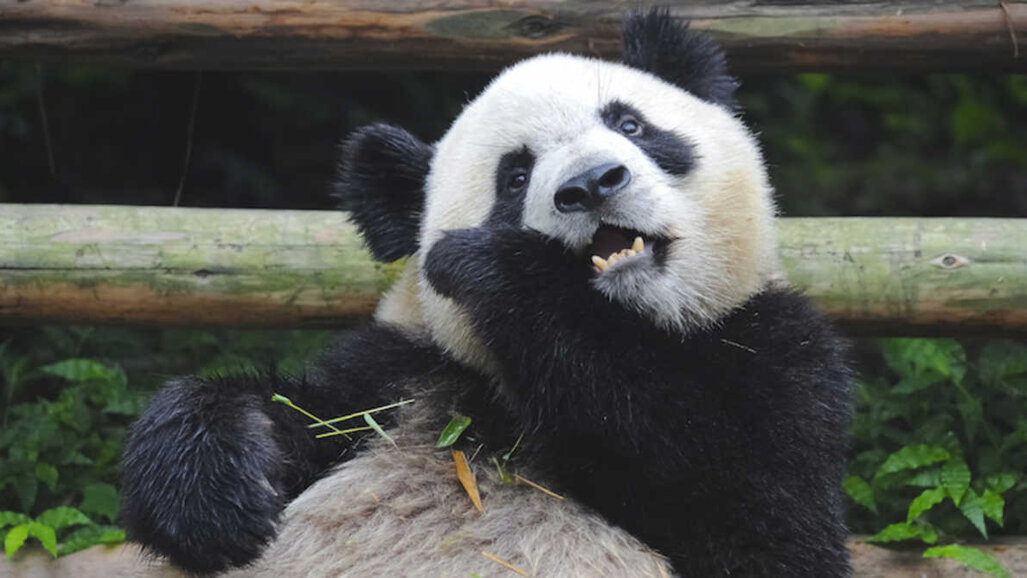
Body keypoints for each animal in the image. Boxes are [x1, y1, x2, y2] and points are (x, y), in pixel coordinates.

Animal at [120, 10, 853, 578]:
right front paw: (212, 494)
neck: (635, 325)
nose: (592, 183)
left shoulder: (782, 360)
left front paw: (502, 269)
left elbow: (748, 511)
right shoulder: (396, 376)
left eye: (631, 125)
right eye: (515, 176)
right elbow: (296, 414)